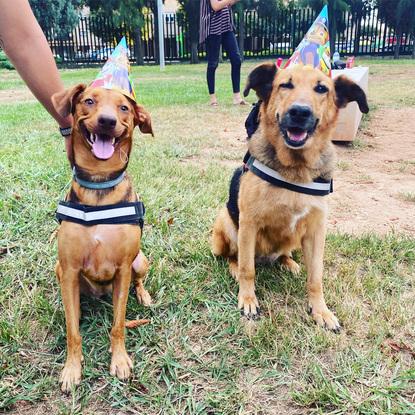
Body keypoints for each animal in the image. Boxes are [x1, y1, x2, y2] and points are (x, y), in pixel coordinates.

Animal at [52, 85, 154, 394]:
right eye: (88, 101)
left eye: (124, 108)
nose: (107, 121)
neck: (99, 184)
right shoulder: (69, 269)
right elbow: (72, 332)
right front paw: (72, 368)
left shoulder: (123, 269)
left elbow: (118, 324)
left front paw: (120, 360)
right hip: (60, 270)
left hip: (140, 260)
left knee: (139, 280)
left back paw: (144, 295)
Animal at [213, 63, 368, 330]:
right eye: (285, 85)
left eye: (321, 89)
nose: (299, 112)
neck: (295, 170)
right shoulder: (249, 224)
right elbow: (247, 269)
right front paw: (248, 300)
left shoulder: (316, 231)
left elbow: (316, 277)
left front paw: (321, 311)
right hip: (226, 222)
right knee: (235, 257)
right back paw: (235, 267)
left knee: (284, 253)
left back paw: (289, 263)